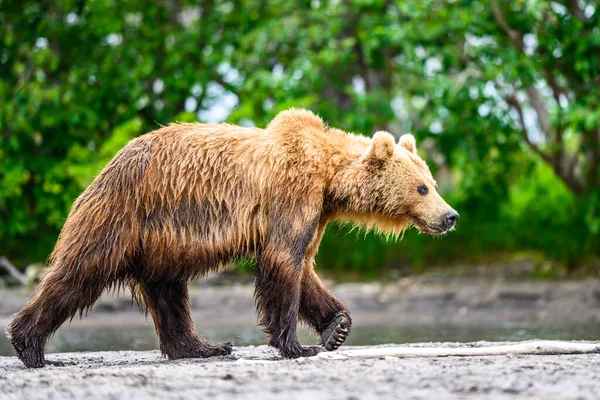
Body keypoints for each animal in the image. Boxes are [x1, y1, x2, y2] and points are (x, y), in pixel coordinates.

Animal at [5, 108, 460, 368]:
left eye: (433, 183)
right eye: (422, 187)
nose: (451, 216)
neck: (330, 179)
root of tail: (107, 166)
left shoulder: (315, 212)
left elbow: (304, 266)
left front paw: (338, 327)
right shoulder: (291, 193)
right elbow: (283, 260)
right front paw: (297, 345)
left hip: (162, 241)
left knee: (168, 292)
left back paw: (203, 347)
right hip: (124, 214)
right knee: (80, 272)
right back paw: (31, 347)